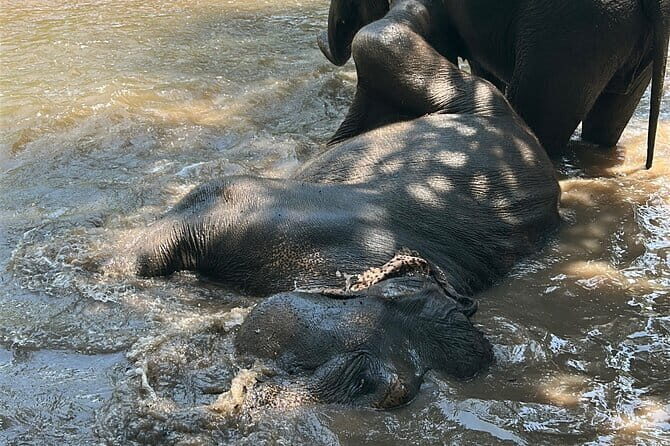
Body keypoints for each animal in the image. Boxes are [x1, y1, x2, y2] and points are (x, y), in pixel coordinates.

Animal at [136, 11, 560, 407]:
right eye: (403, 293)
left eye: (383, 387)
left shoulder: (253, 211)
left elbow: (153, 244)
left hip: (479, 99)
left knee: (375, 40)